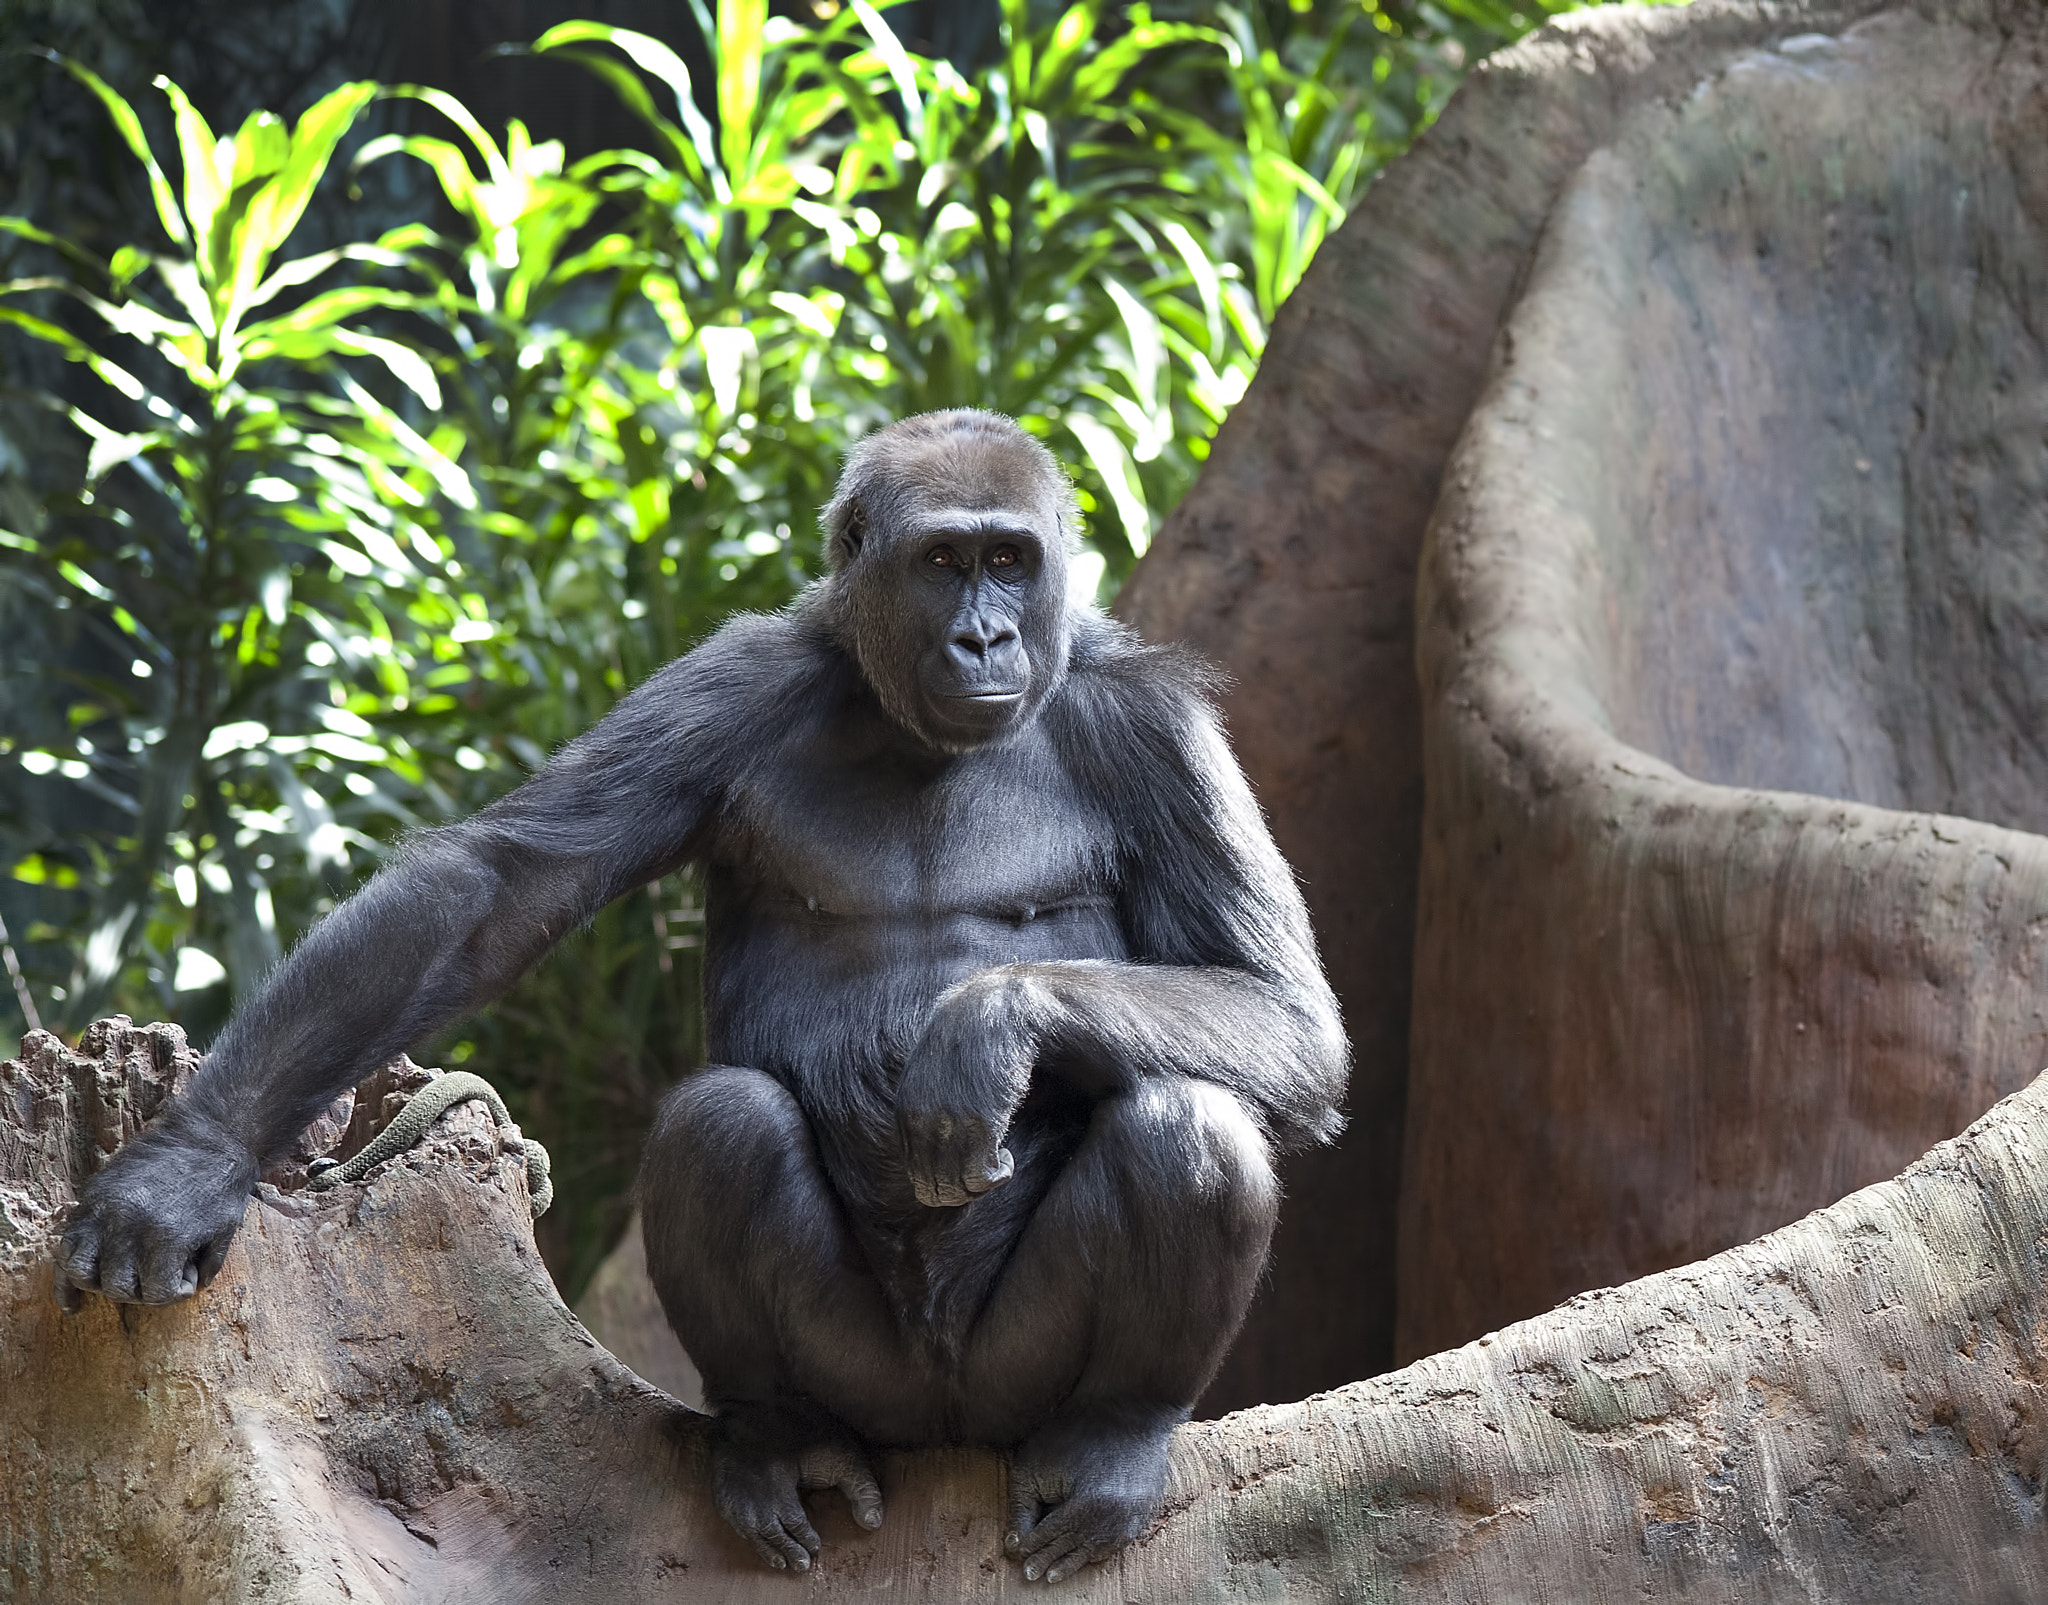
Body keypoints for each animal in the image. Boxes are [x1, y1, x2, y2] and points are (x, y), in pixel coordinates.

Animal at [56, 408, 1348, 1583]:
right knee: (720, 1129)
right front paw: (193, 1159)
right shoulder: (731, 687)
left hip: (1008, 1384)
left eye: (1010, 560)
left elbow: (1284, 1012)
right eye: (943, 562)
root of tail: (942, 1434)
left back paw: (1111, 1436)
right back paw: (782, 1438)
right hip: (869, 1385)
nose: (984, 637)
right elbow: (497, 886)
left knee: (1186, 1124)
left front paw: (991, 1023)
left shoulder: (1156, 725)